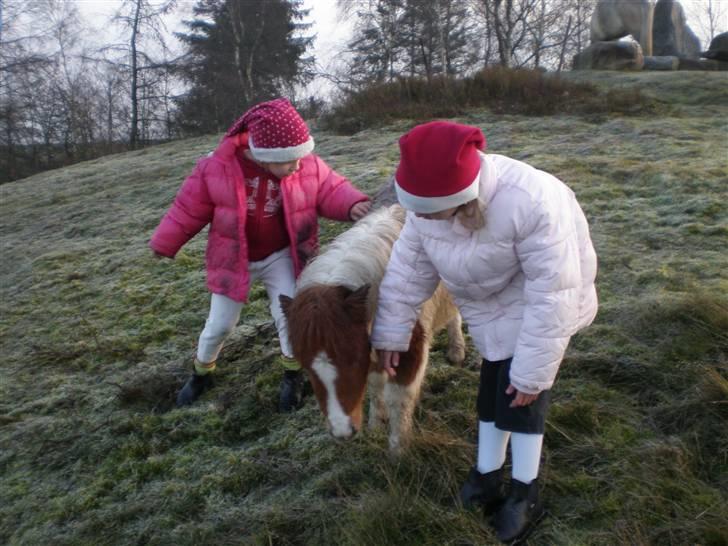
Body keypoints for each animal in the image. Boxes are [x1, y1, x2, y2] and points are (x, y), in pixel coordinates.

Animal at [280, 204, 466, 450]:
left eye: (353, 360)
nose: (342, 433)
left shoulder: (410, 348)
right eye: (306, 367)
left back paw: (456, 350)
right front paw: (376, 423)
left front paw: (398, 449)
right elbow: (375, 384)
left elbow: (399, 397)